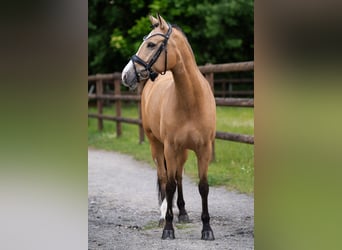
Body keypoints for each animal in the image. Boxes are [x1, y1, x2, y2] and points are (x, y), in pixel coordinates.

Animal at [121, 13, 215, 240]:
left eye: (151, 44)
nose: (125, 75)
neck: (191, 101)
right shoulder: (170, 148)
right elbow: (169, 185)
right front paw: (168, 228)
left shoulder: (204, 150)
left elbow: (203, 186)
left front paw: (207, 229)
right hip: (157, 145)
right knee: (165, 178)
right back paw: (165, 214)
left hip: (183, 151)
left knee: (179, 177)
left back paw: (182, 212)